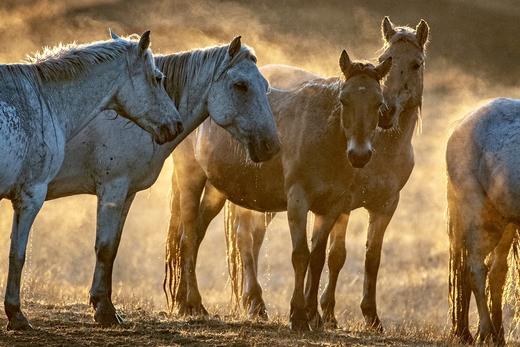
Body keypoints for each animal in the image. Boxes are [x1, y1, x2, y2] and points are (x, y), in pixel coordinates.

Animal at [0, 31, 183, 330]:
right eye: (157, 78)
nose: (175, 125)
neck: (44, 100)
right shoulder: (30, 196)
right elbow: (18, 255)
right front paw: (16, 314)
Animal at [45, 37, 280, 326]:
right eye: (240, 85)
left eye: (264, 85)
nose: (271, 145)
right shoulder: (112, 190)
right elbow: (105, 248)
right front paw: (104, 310)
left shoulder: (126, 193)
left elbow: (113, 247)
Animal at [165, 49, 392, 332]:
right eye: (344, 100)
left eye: (378, 103)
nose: (359, 155)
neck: (322, 136)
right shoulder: (297, 202)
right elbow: (300, 255)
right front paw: (298, 316)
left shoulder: (329, 208)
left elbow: (317, 259)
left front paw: (313, 316)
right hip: (191, 181)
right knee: (188, 238)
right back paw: (192, 304)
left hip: (216, 193)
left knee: (195, 235)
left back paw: (186, 301)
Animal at [446, 96, 520, 344]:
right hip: (480, 217)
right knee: (477, 268)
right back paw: (487, 332)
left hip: (506, 223)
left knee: (497, 273)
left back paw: (498, 335)